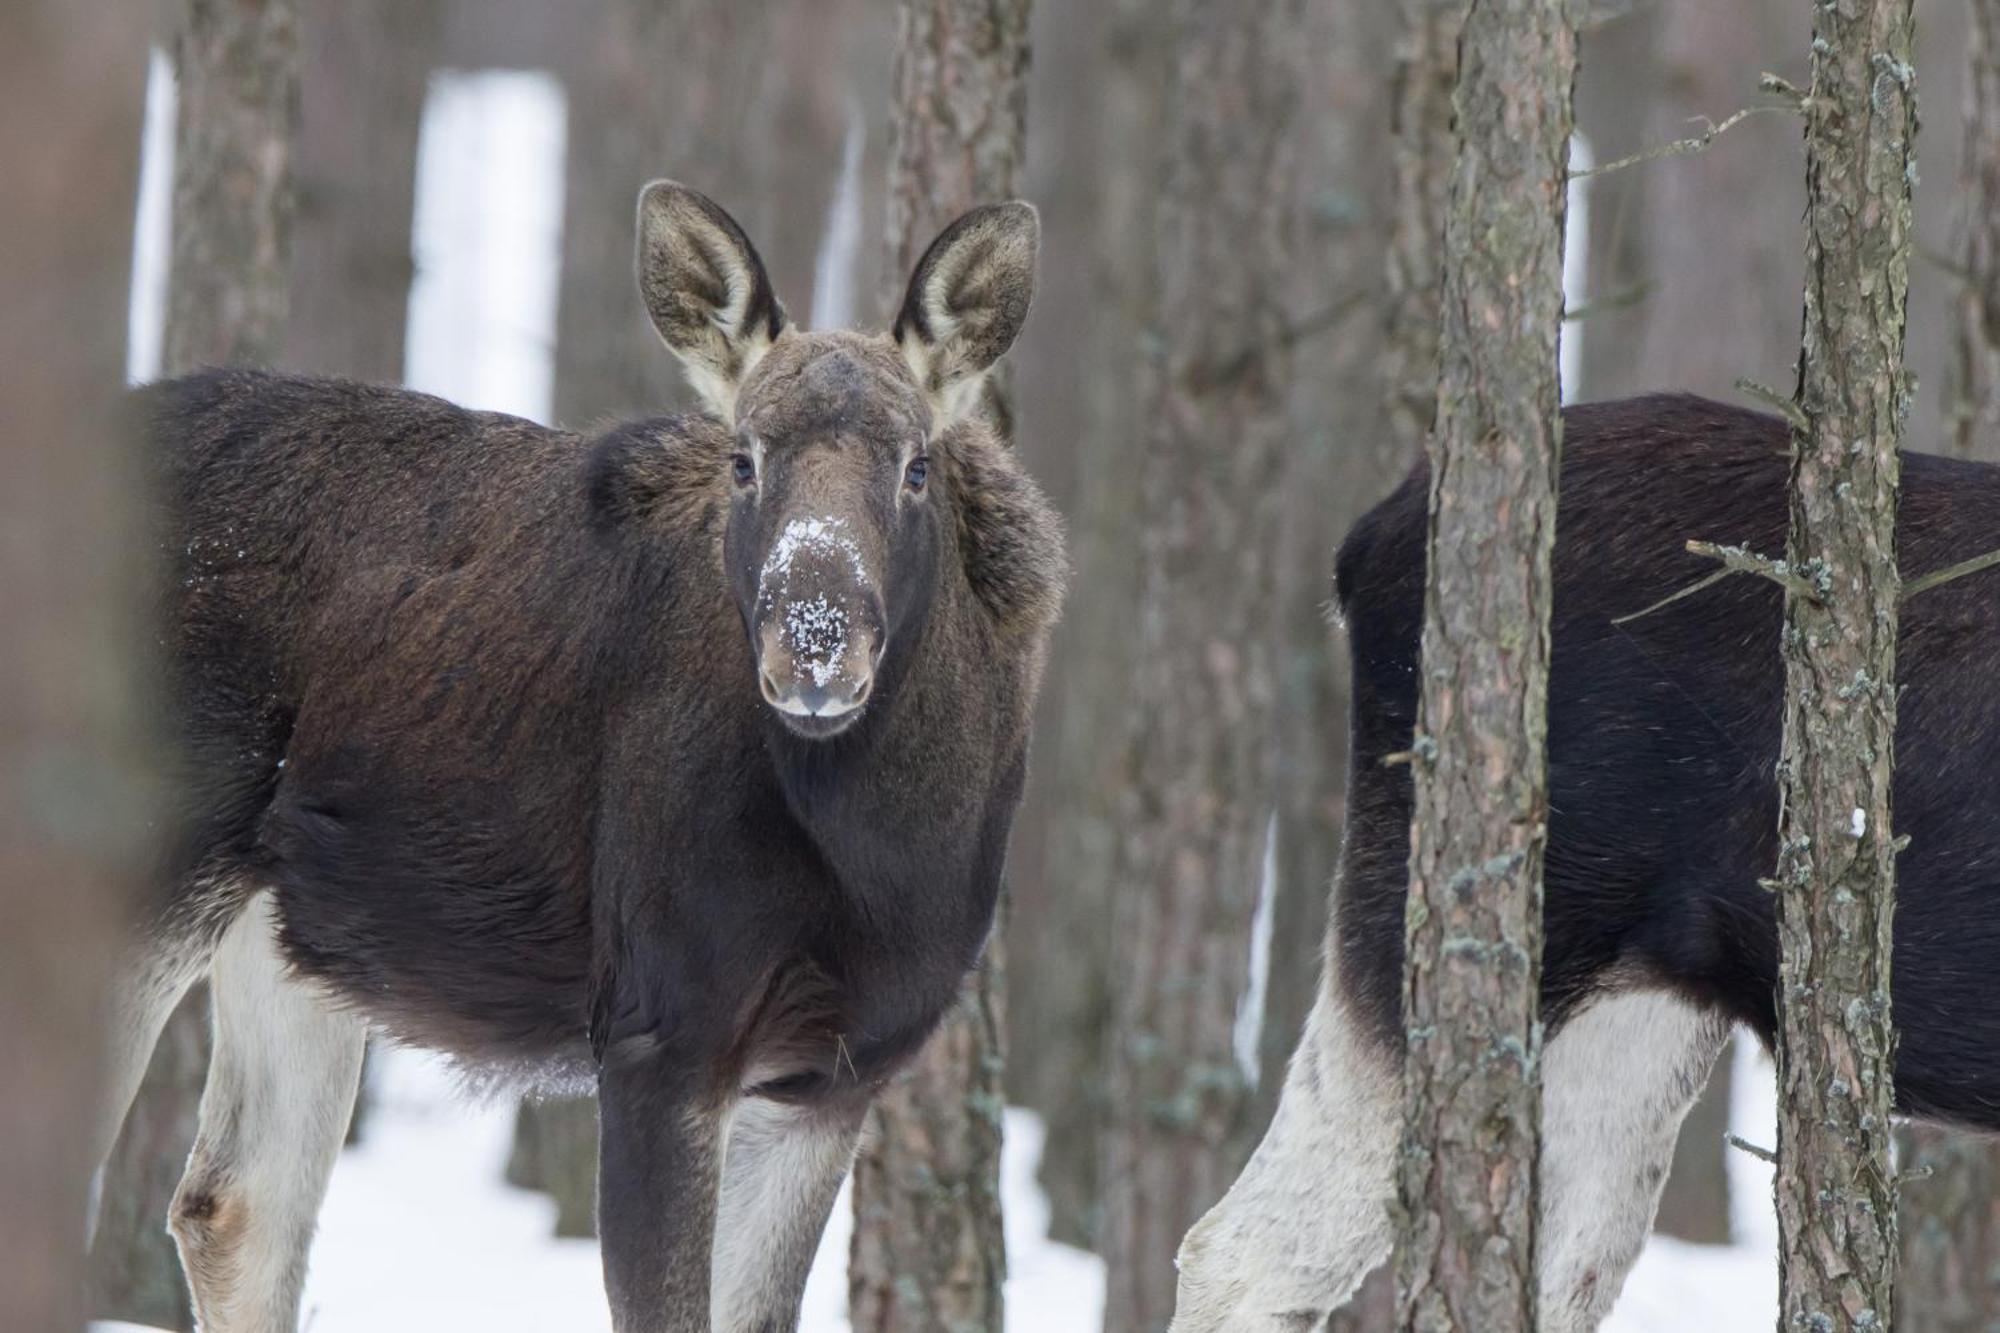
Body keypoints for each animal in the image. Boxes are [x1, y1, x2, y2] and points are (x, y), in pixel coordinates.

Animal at [97, 179, 1064, 1328]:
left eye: (917, 465)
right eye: (743, 457)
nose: (815, 643)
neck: (886, 859)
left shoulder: (833, 1078)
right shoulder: (662, 1031)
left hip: (284, 937)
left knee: (230, 1204)